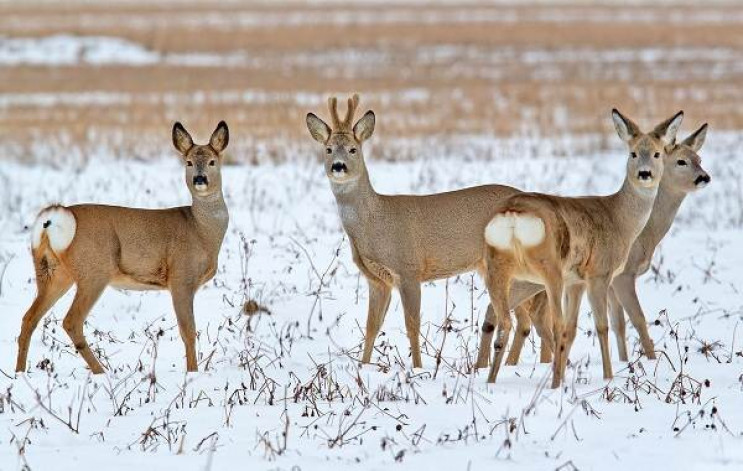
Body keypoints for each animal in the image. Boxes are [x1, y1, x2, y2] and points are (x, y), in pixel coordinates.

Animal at [15, 121, 230, 376]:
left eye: (212, 161)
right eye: (188, 162)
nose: (199, 179)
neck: (201, 231)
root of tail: (55, 218)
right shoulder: (181, 277)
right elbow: (188, 332)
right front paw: (193, 373)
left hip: (53, 271)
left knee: (29, 318)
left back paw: (19, 372)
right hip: (94, 270)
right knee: (71, 321)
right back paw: (101, 372)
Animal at [304, 95, 548, 368]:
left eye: (353, 149)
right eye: (328, 149)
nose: (338, 166)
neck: (374, 223)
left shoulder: (408, 269)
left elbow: (412, 324)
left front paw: (418, 368)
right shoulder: (377, 279)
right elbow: (372, 326)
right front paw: (364, 366)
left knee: (523, 318)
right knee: (529, 319)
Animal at [480, 109, 684, 390]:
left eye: (657, 153)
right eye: (632, 153)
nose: (645, 174)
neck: (619, 218)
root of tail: (513, 214)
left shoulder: (575, 281)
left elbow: (574, 328)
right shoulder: (599, 273)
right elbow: (602, 326)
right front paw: (608, 377)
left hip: (499, 267)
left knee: (505, 322)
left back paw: (492, 382)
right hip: (549, 269)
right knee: (554, 324)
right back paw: (554, 383)